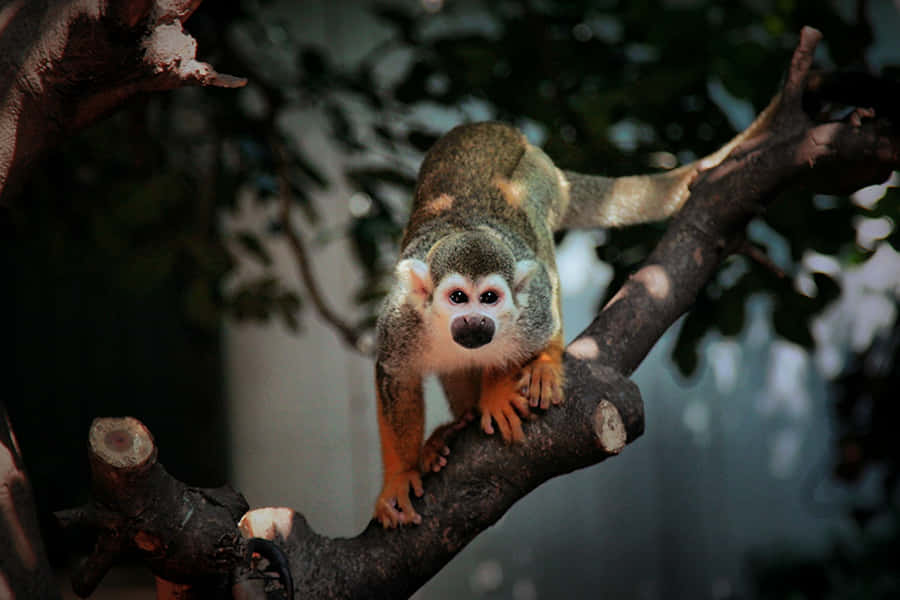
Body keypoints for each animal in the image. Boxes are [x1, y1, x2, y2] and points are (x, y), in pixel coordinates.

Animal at [373, 99, 778, 528]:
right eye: (457, 298)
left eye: (489, 298)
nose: (476, 322)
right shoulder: (401, 320)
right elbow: (394, 376)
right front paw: (399, 478)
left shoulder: (527, 312)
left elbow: (536, 315)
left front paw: (499, 390)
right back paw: (456, 426)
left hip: (540, 179)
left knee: (535, 232)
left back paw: (541, 364)